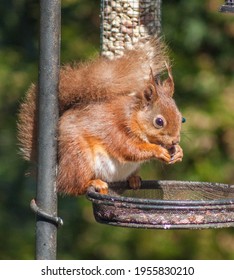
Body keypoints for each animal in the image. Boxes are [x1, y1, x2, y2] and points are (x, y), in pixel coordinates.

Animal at [17, 36, 184, 195]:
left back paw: (134, 180)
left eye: (181, 118)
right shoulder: (115, 128)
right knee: (71, 186)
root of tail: (59, 171)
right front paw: (158, 151)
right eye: (159, 121)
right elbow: (129, 148)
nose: (175, 140)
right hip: (79, 157)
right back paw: (93, 183)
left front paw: (178, 152)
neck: (133, 116)